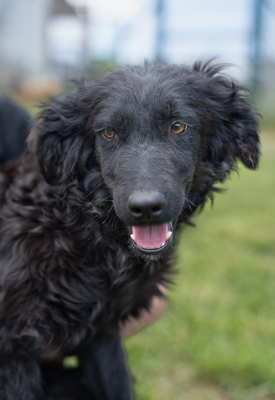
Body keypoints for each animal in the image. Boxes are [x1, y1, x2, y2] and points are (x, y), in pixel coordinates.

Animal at [0, 61, 258, 398]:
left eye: (178, 126)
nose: (146, 207)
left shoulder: (102, 331)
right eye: (109, 133)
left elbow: (117, 383)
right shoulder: (13, 348)